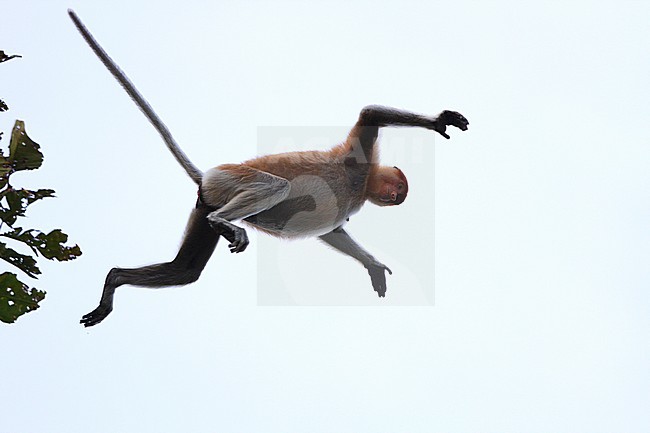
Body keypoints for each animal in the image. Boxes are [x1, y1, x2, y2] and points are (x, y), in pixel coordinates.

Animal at [68, 10, 469, 327]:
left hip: (208, 197)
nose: (394, 196)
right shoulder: (356, 162)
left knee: (185, 270)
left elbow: (333, 231)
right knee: (275, 187)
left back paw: (115, 279)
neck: (361, 186)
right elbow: (369, 115)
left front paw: (372, 266)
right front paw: (440, 121)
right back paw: (224, 223)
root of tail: (207, 177)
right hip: (231, 178)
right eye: (397, 189)